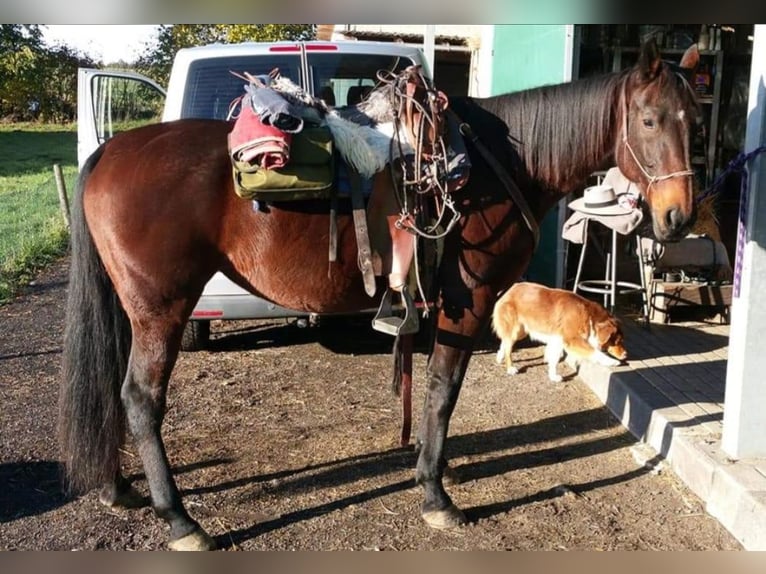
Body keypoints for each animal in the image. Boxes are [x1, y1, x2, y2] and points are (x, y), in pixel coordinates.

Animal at [496, 282, 628, 382]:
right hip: (515, 329)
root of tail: (511, 288)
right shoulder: (572, 340)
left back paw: (499, 357)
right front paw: (611, 361)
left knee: (504, 342)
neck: (589, 316)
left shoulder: (558, 340)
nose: (626, 354)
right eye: (618, 341)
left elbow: (554, 359)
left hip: (521, 331)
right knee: (508, 347)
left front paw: (553, 376)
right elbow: (594, 352)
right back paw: (510, 368)